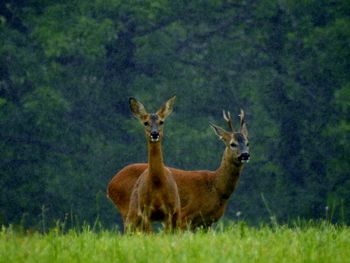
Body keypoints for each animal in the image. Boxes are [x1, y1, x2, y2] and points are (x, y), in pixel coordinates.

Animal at [106, 109, 249, 231]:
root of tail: (111, 184)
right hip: (129, 208)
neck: (215, 188)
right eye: (232, 144)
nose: (245, 155)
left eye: (248, 143)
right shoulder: (184, 216)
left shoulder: (207, 222)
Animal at [124, 96, 180, 232]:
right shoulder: (145, 211)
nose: (154, 133)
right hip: (133, 213)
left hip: (178, 212)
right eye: (145, 123)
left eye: (161, 122)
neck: (157, 182)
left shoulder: (169, 211)